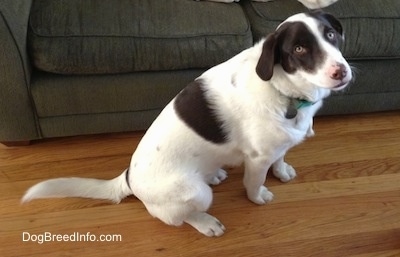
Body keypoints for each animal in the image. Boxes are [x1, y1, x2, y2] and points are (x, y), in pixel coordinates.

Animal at [23, 12, 352, 236]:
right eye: (298, 49)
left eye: (331, 35)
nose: (341, 72)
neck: (284, 90)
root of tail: (128, 178)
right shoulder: (257, 158)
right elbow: (254, 182)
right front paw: (258, 197)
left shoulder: (280, 143)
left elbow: (281, 156)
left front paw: (282, 171)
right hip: (195, 193)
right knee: (181, 216)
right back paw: (206, 223)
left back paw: (215, 174)